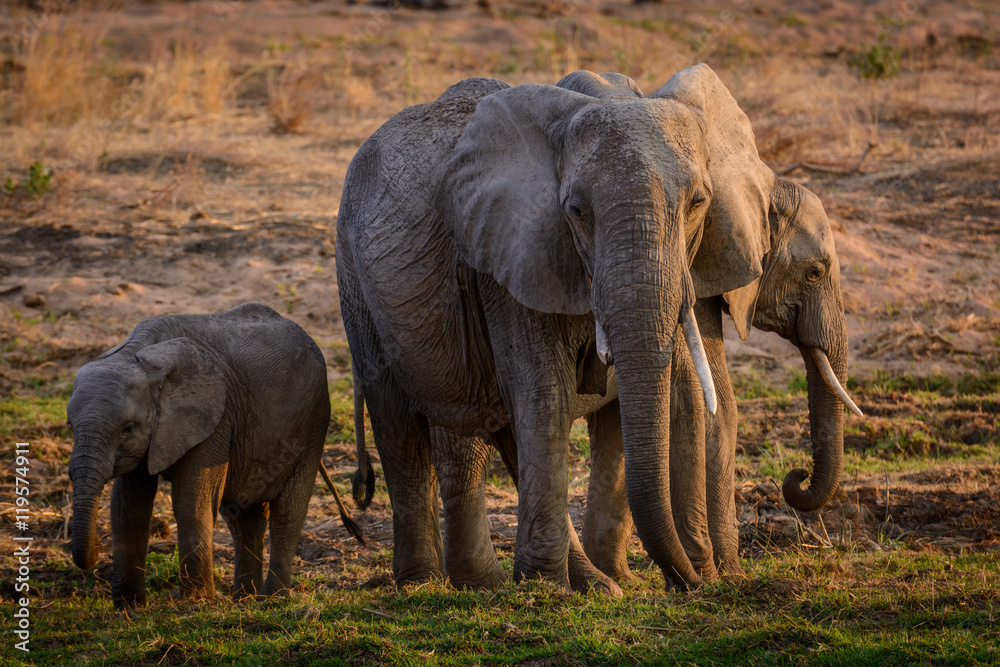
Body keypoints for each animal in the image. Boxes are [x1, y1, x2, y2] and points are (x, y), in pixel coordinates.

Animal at [66, 303, 347, 609]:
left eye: (128, 428)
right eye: (70, 425)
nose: (95, 551)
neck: (137, 352)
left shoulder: (215, 418)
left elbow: (191, 500)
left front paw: (196, 603)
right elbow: (128, 505)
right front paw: (129, 607)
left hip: (313, 424)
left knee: (287, 512)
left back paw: (273, 600)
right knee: (243, 518)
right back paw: (244, 600)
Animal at [337, 65, 775, 592]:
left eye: (698, 203)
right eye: (576, 211)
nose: (691, 580)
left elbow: (655, 400)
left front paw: (660, 580)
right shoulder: (510, 255)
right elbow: (545, 391)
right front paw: (547, 590)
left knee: (492, 431)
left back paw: (564, 583)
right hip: (355, 279)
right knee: (399, 424)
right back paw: (428, 584)